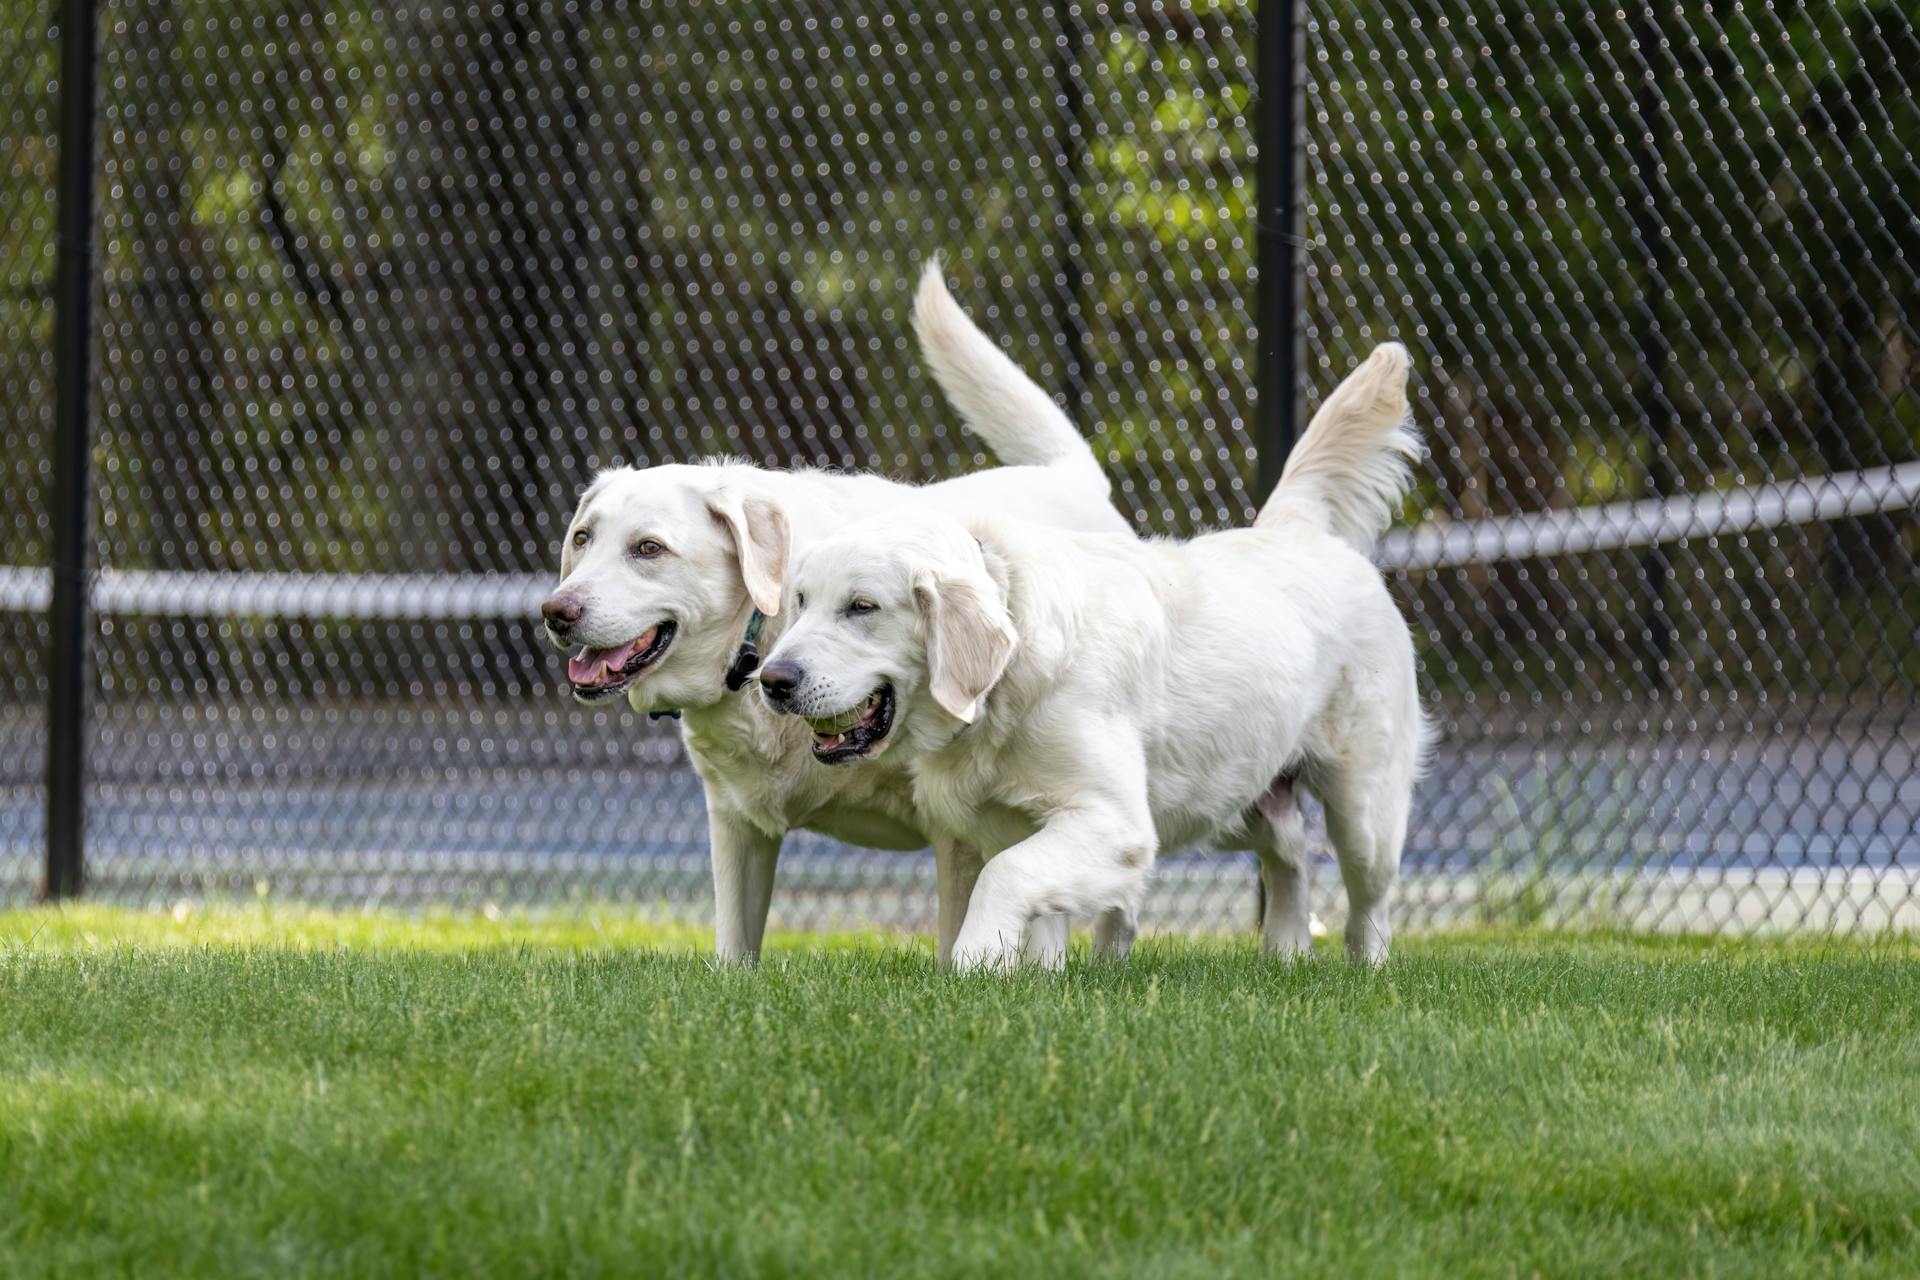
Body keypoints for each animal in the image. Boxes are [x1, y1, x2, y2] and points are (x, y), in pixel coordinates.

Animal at [541, 264, 1128, 967]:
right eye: (582, 539)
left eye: (648, 549)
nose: (555, 612)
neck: (759, 644)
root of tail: (1072, 478)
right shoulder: (735, 826)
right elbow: (735, 949)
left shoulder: (960, 832)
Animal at [756, 343, 1436, 971]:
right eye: (800, 601)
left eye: (862, 607)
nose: (772, 679)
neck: (1007, 684)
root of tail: (1297, 529)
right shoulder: (1013, 823)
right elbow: (1035, 912)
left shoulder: (1117, 825)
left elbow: (1005, 877)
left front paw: (973, 963)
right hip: (1232, 789)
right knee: (1288, 852)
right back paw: (1285, 952)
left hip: (1362, 808)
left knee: (1367, 904)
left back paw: (1364, 970)